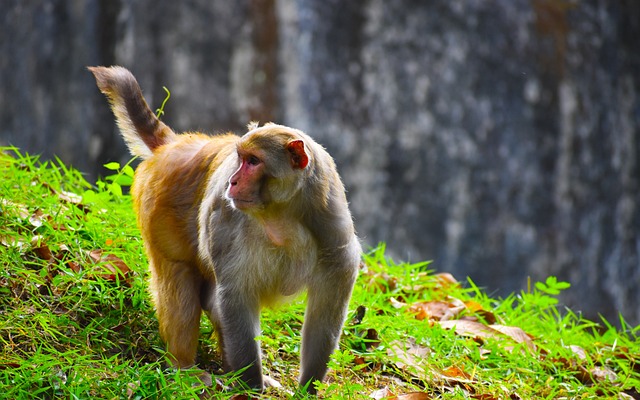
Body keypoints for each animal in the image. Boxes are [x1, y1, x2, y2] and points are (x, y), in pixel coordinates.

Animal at [88, 66, 362, 394]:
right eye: (240, 159)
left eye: (253, 161)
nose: (232, 180)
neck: (280, 214)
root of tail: (175, 145)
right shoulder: (227, 221)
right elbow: (235, 297)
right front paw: (251, 387)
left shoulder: (330, 224)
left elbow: (325, 312)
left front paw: (307, 388)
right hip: (158, 210)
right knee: (179, 283)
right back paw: (185, 368)